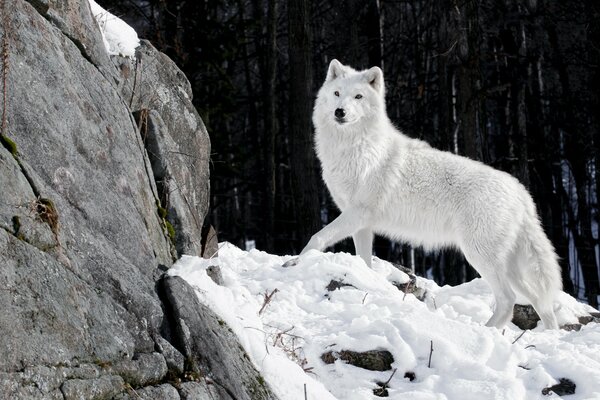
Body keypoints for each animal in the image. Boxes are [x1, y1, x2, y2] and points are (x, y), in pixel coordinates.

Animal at [292, 58, 560, 328]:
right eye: (337, 94)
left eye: (358, 96)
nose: (340, 112)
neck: (354, 148)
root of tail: (521, 192)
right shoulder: (361, 224)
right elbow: (364, 262)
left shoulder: (357, 213)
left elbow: (317, 237)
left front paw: (295, 262)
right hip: (509, 266)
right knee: (541, 302)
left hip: (480, 255)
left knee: (508, 300)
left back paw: (485, 331)